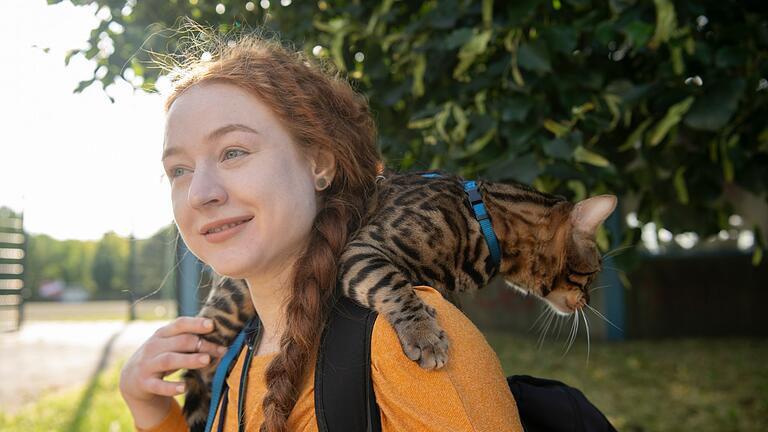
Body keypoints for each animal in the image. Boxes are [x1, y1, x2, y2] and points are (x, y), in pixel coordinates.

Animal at [180, 170, 616, 430]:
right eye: (593, 271)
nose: (586, 299)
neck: (484, 222)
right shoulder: (363, 250)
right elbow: (394, 287)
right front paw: (424, 335)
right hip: (225, 311)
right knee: (196, 367)